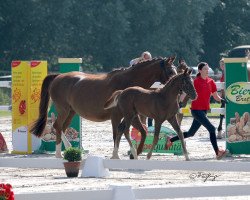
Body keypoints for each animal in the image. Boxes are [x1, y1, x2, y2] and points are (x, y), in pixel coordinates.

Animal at [30, 55, 178, 157]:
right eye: (171, 72)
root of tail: (58, 77)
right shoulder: (116, 115)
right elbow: (116, 134)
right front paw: (116, 155)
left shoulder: (131, 115)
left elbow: (139, 131)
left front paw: (133, 152)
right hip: (63, 110)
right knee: (57, 126)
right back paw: (59, 154)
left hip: (71, 112)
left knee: (61, 128)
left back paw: (69, 150)